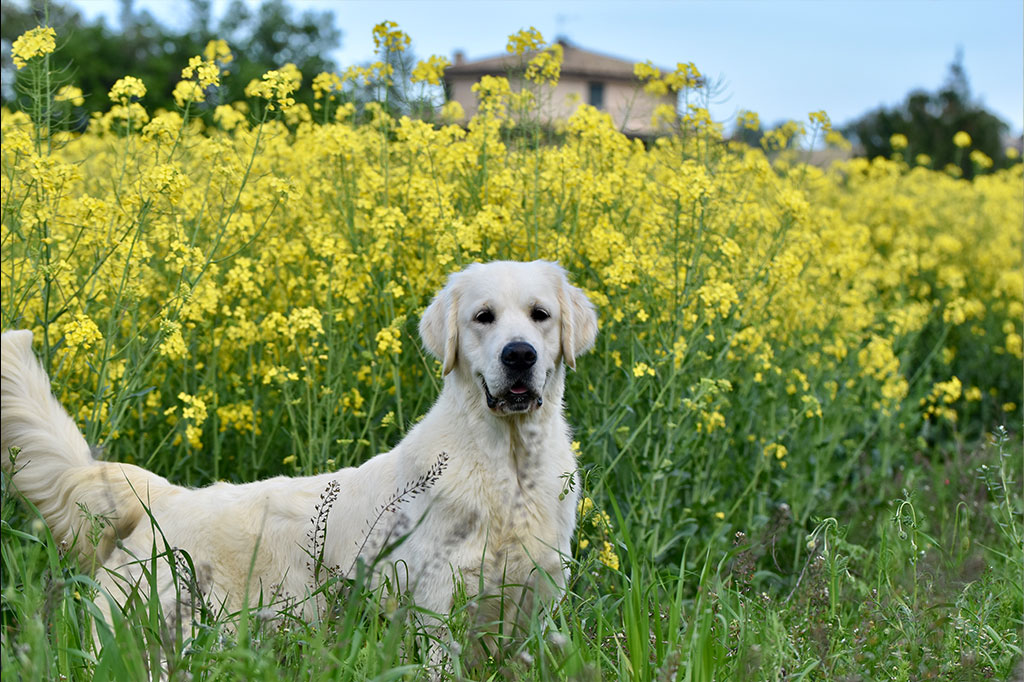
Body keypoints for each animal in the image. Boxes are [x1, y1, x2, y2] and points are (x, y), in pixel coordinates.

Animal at [0, 259, 598, 647]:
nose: (518, 356)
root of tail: (160, 494)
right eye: (483, 316)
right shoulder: (433, 604)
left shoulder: (537, 604)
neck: (509, 471)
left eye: (540, 314)